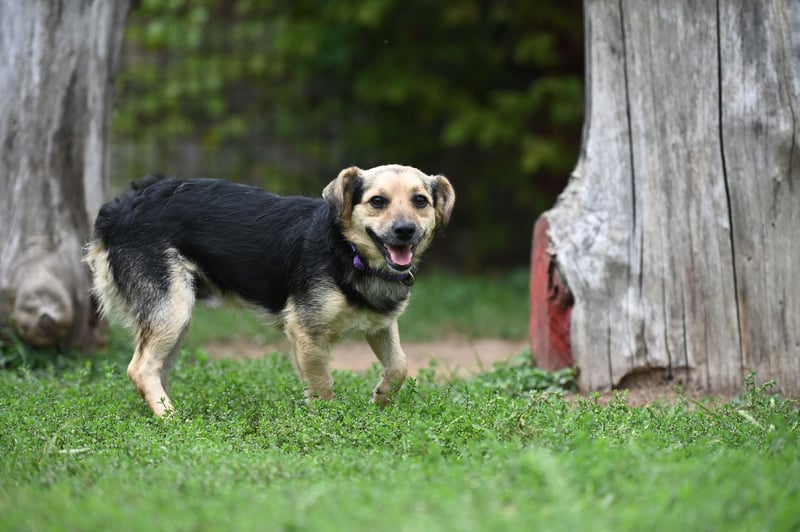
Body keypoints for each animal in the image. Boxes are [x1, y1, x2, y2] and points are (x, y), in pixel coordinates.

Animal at [84, 164, 455, 416]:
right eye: (378, 201)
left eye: (420, 201)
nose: (405, 230)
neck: (348, 252)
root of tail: (123, 205)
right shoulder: (305, 332)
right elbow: (323, 385)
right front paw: (329, 423)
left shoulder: (380, 325)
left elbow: (400, 366)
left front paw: (380, 399)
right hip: (171, 312)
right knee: (139, 369)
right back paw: (171, 419)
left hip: (176, 320)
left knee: (155, 369)